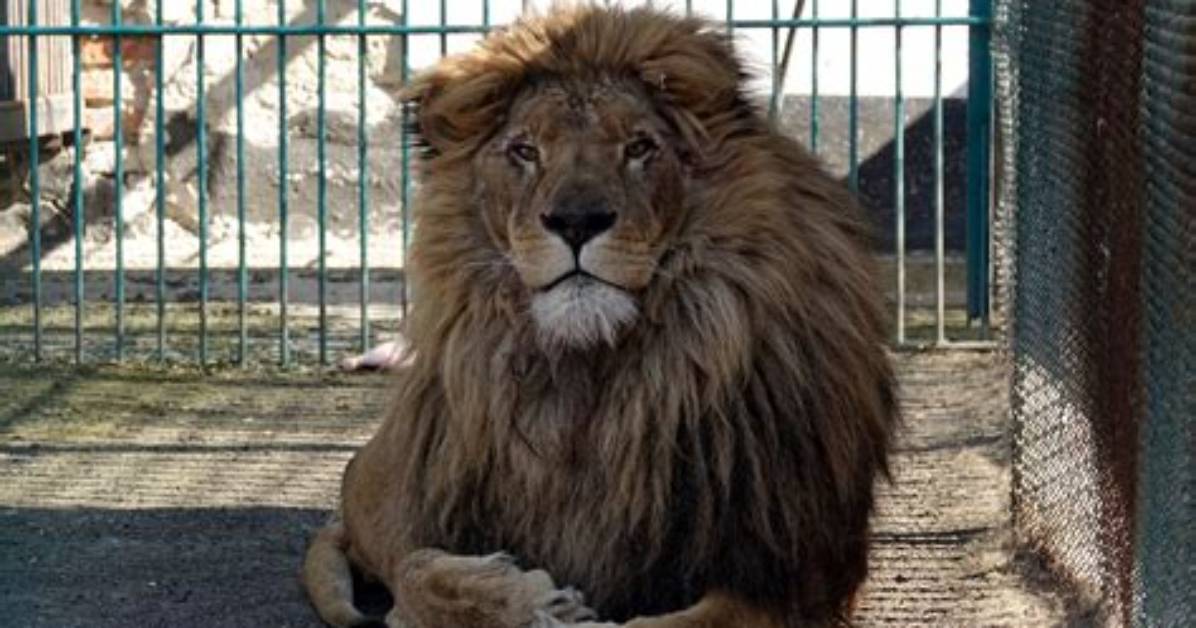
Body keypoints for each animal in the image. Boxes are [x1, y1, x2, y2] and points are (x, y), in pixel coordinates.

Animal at [304, 6, 898, 628]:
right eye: (524, 151)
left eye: (639, 147)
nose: (576, 220)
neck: (594, 373)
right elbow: (418, 575)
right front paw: (532, 601)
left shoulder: (791, 575)